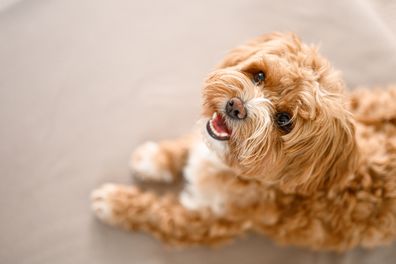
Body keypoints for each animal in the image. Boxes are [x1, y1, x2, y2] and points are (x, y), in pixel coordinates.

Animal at [91, 33, 396, 252]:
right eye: (259, 75)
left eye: (284, 120)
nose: (236, 106)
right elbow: (187, 144)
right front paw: (155, 158)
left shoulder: (207, 222)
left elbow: (157, 212)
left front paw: (115, 203)